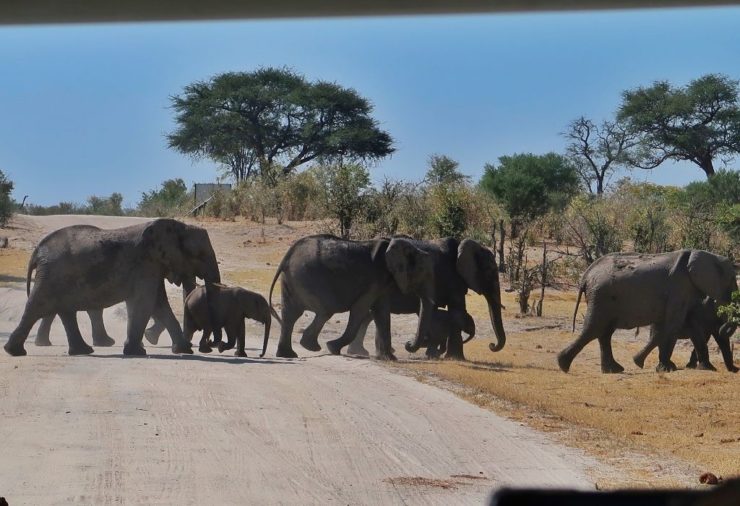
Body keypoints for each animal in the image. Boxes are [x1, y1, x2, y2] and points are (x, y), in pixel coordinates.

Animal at [3, 219, 223, 358]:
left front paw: (183, 351)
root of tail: (37, 250)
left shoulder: (151, 267)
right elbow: (147, 303)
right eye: (199, 254)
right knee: (38, 306)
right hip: (52, 274)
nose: (208, 348)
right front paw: (137, 352)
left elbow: (157, 304)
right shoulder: (146, 265)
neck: (177, 226)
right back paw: (15, 352)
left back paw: (83, 351)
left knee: (65, 311)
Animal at [268, 235, 436, 362]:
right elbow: (359, 311)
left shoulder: (382, 282)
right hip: (307, 276)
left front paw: (390, 358)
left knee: (291, 315)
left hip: (293, 279)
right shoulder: (374, 281)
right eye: (422, 270)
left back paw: (289, 354)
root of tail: (289, 254)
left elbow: (381, 312)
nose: (408, 343)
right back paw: (311, 347)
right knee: (325, 311)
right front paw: (332, 348)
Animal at [556, 250, 736, 374]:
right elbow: (673, 325)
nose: (736, 370)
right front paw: (665, 368)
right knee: (594, 329)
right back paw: (563, 365)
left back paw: (613, 370)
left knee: (604, 332)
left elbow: (676, 326)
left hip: (603, 299)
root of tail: (586, 275)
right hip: (601, 297)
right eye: (731, 281)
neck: (706, 255)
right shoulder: (679, 288)